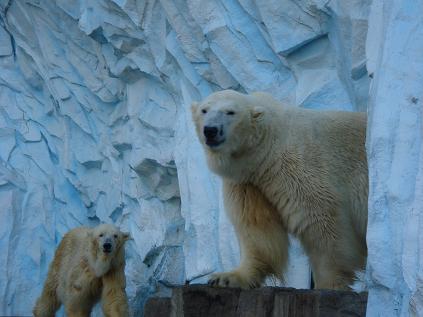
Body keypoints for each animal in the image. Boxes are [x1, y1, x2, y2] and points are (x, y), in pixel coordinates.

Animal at [192, 89, 368, 288]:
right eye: (204, 110)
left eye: (230, 112)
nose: (210, 130)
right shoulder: (249, 182)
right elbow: (257, 227)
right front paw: (227, 277)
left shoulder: (297, 166)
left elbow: (321, 221)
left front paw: (327, 283)